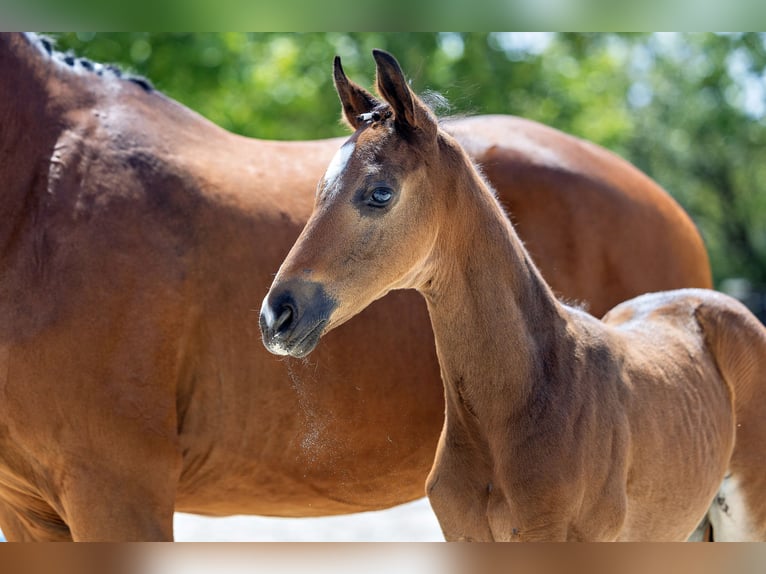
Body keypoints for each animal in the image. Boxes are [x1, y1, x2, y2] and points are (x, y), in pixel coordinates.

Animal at [0, 33, 712, 544]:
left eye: (379, 194)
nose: (276, 316)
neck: (40, 190)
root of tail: (670, 207)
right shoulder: (31, 510)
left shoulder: (118, 485)